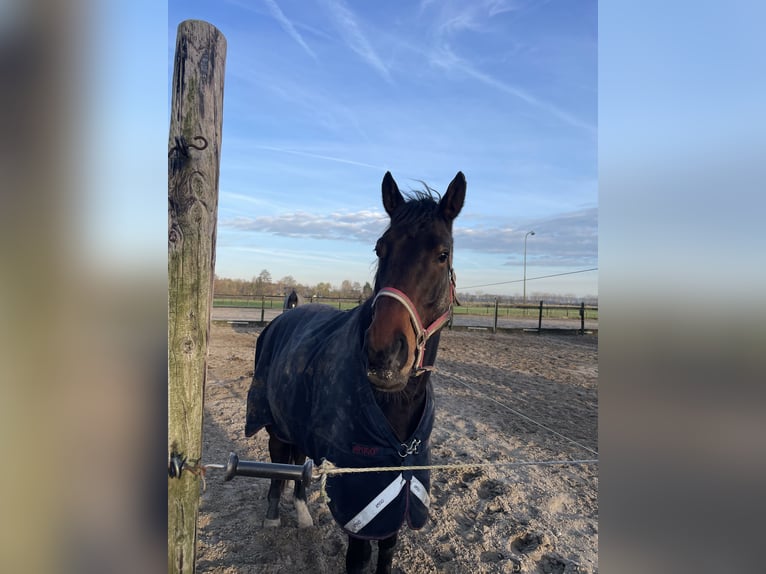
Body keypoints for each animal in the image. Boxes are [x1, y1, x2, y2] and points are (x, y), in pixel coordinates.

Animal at [246, 172, 464, 574]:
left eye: (442, 254)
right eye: (381, 249)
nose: (384, 354)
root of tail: (287, 313)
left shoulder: (399, 486)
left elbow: (388, 549)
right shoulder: (361, 495)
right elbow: (359, 559)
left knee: (298, 463)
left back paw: (303, 515)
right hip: (274, 423)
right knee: (279, 463)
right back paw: (272, 517)